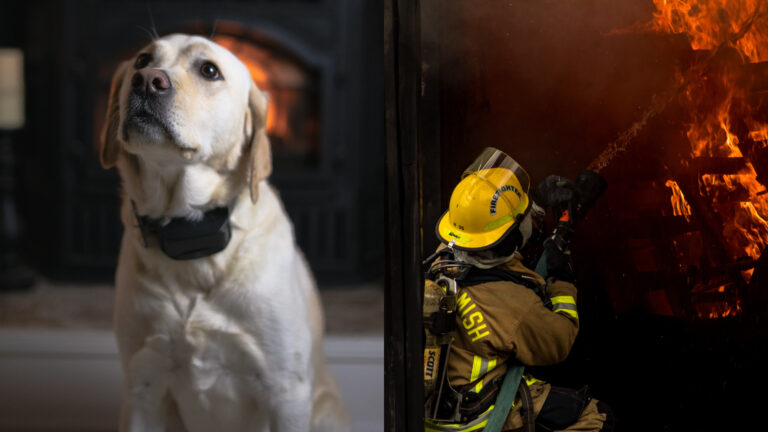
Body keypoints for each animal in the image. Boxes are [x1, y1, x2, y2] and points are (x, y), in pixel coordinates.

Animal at [99, 34, 348, 432]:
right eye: (142, 60)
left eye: (209, 70)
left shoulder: (286, 391)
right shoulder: (143, 384)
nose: (147, 80)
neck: (190, 238)